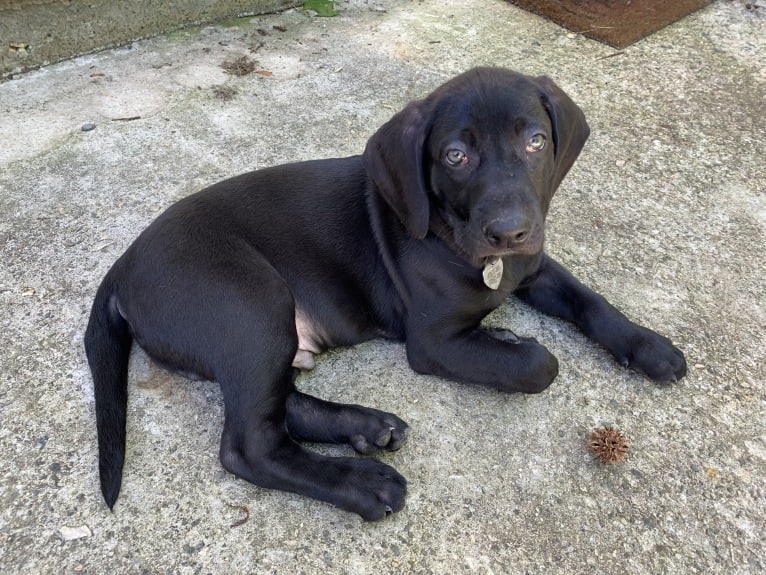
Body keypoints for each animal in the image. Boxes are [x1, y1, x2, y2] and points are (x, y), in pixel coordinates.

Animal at [85, 67, 688, 520]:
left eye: (535, 141)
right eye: (455, 155)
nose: (509, 230)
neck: (459, 240)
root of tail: (121, 265)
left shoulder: (533, 265)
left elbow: (590, 300)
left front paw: (650, 347)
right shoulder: (434, 342)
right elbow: (540, 364)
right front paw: (513, 341)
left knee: (281, 406)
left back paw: (368, 428)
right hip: (252, 302)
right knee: (249, 445)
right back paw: (362, 484)